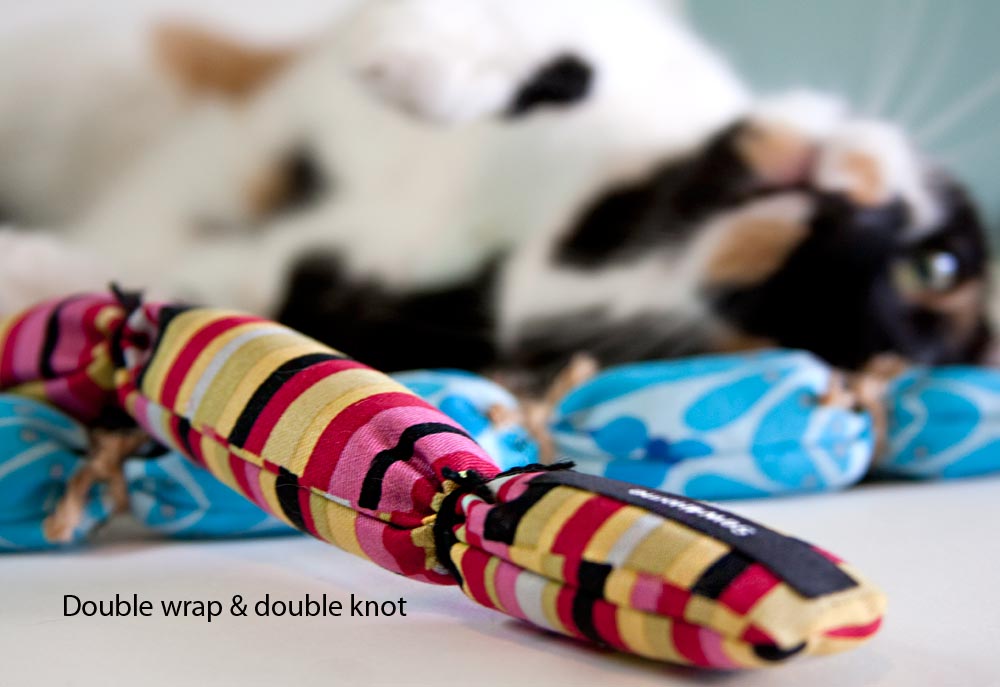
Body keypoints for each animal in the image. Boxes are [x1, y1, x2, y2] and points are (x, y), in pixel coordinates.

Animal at [0, 0, 992, 393]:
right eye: (935, 264)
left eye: (787, 320)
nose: (847, 232)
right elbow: (578, 41)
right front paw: (438, 58)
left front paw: (36, 277)